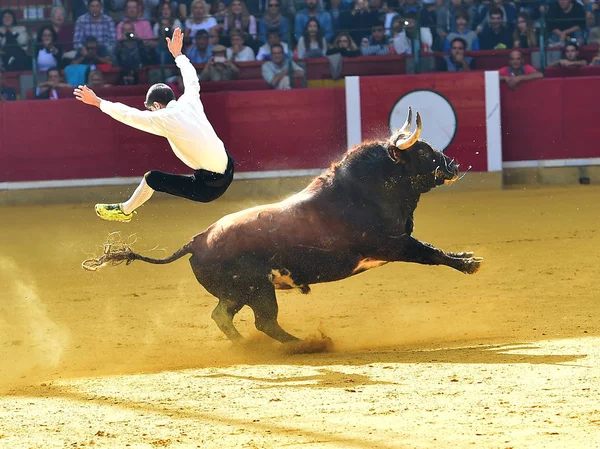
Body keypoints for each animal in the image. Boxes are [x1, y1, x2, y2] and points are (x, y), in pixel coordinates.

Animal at [86, 107, 482, 344]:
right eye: (424, 151)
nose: (452, 163)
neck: (365, 191)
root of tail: (196, 240)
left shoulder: (397, 243)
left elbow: (433, 250)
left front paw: (466, 255)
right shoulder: (394, 244)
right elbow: (430, 253)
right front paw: (469, 263)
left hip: (238, 292)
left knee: (223, 316)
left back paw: (248, 347)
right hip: (259, 291)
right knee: (264, 322)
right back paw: (302, 345)